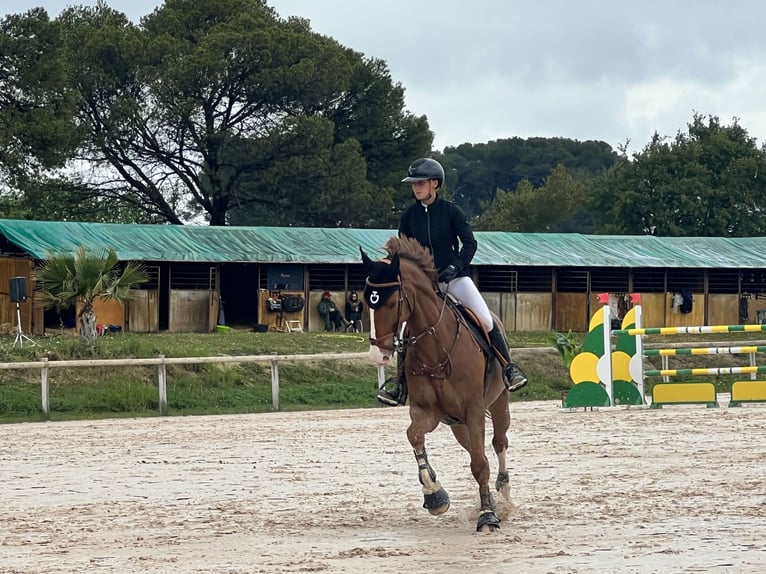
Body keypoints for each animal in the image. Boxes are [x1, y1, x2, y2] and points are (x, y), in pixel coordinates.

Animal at [360, 235, 513, 533]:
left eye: (391, 303)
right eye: (365, 303)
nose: (377, 355)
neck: (437, 347)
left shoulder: (474, 410)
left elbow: (480, 464)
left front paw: (488, 517)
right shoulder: (426, 412)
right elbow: (414, 436)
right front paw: (434, 494)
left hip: (498, 404)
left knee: (498, 443)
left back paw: (502, 494)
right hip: (458, 425)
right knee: (476, 449)